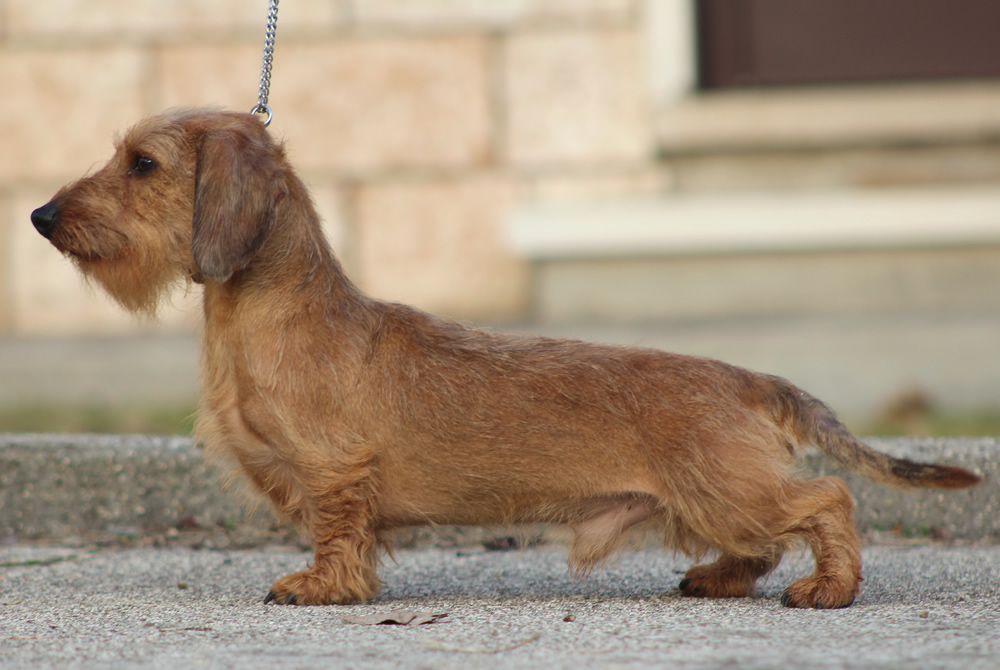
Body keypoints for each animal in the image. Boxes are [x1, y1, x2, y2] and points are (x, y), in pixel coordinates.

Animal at [29, 109, 976, 608]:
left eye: (142, 162)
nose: (40, 215)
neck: (271, 316)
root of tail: (747, 379)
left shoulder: (337, 470)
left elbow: (337, 531)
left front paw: (320, 586)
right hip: (709, 502)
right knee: (762, 539)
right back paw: (716, 578)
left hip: (728, 488)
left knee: (825, 499)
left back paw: (830, 586)